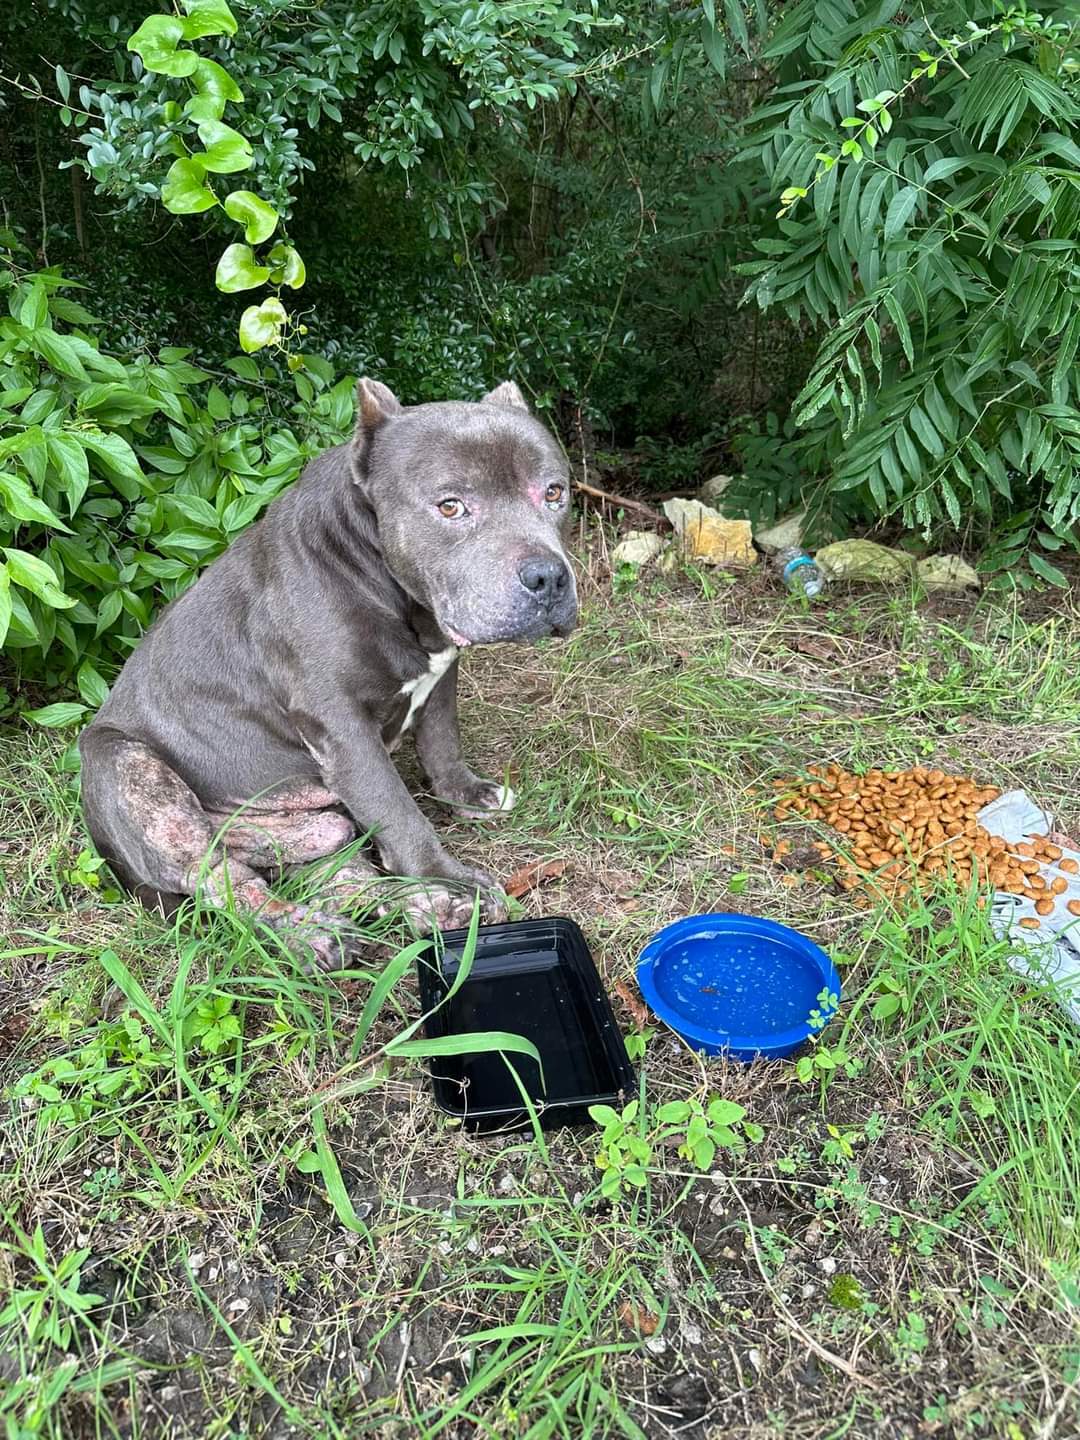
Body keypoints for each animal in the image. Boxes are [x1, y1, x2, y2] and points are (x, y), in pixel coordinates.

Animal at [79, 380, 578, 967]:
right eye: (450, 506)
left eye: (554, 493)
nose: (547, 576)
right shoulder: (342, 727)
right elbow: (397, 808)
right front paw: (446, 877)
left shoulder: (440, 675)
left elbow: (441, 740)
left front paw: (463, 794)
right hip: (129, 773)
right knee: (224, 882)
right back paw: (312, 934)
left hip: (318, 830)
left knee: (337, 874)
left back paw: (418, 909)